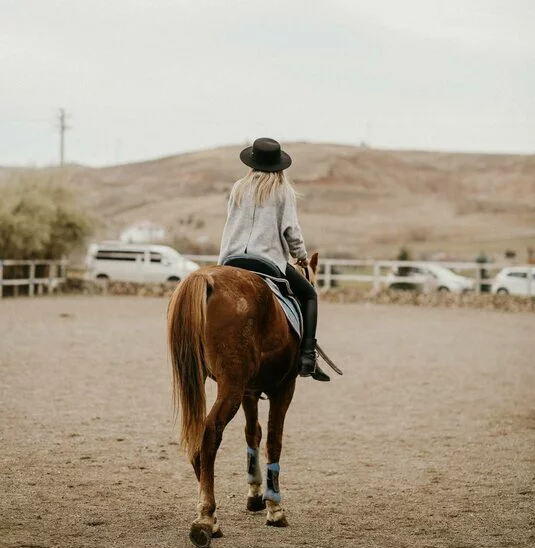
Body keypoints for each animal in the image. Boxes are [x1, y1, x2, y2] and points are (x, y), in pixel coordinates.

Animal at [168, 253, 318, 548]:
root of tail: (204, 278)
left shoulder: (250, 390)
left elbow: (253, 434)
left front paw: (255, 496)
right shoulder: (284, 387)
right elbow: (273, 439)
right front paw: (274, 508)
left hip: (213, 382)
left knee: (198, 435)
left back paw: (212, 520)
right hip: (232, 387)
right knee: (210, 433)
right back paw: (206, 519)